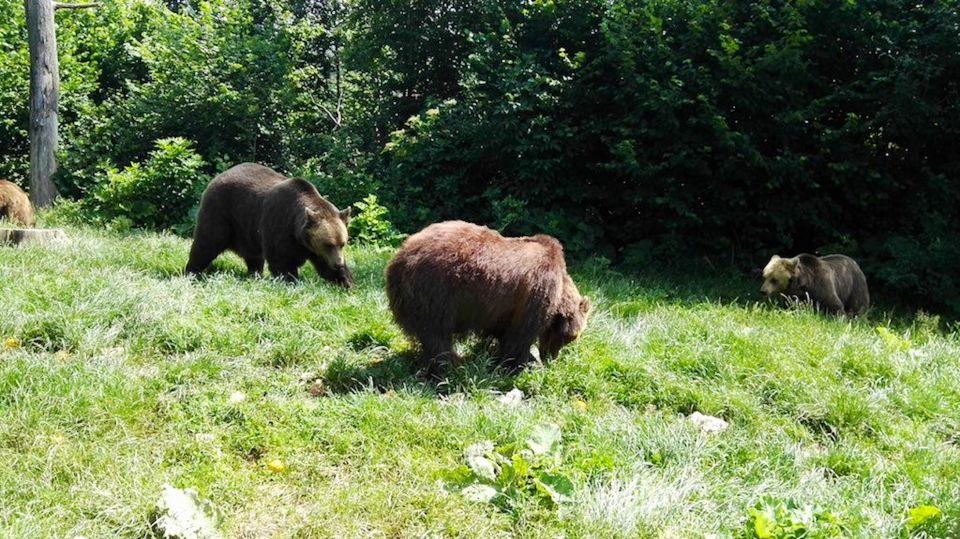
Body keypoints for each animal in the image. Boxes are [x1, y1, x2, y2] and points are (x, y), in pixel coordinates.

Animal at [386, 219, 588, 376]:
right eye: (568, 337)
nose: (551, 358)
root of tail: (397, 261)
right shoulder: (537, 292)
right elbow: (520, 336)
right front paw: (523, 364)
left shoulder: (503, 309)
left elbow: (503, 332)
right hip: (437, 291)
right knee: (437, 334)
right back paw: (452, 364)